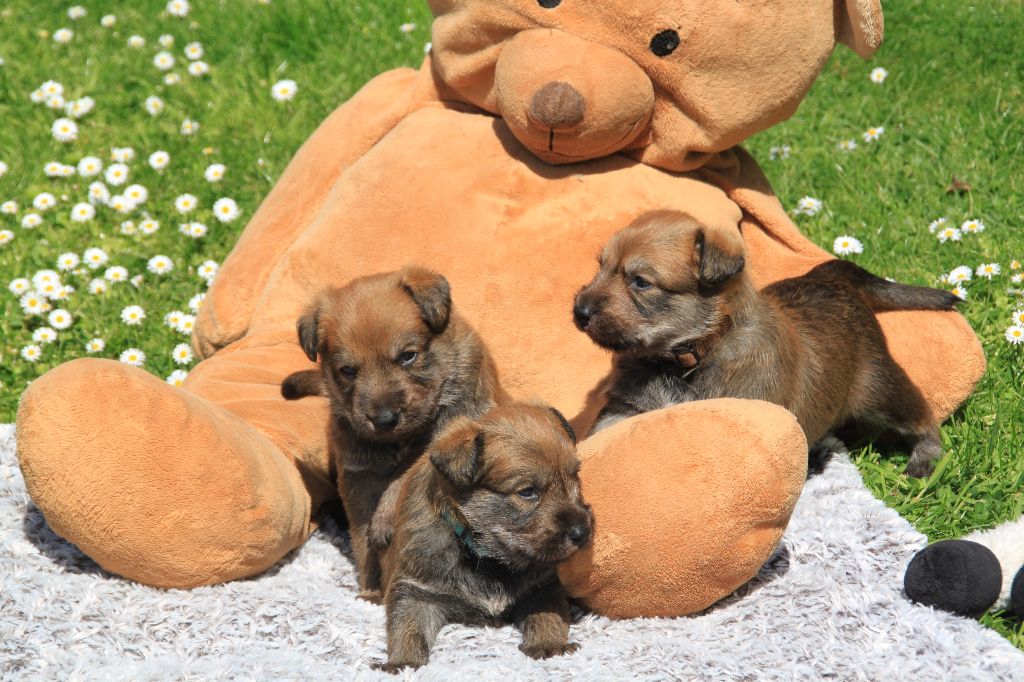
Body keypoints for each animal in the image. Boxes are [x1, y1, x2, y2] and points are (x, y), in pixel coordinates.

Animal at [282, 266, 501, 602]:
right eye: (348, 370)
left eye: (408, 356)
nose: (384, 419)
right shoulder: (357, 479)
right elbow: (363, 543)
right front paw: (371, 591)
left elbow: (404, 477)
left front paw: (385, 521)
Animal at [374, 401, 593, 671]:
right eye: (527, 492)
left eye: (575, 477)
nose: (582, 532)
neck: (488, 559)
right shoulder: (415, 588)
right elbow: (407, 626)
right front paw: (403, 663)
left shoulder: (542, 585)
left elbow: (548, 614)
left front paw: (550, 644)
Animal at [573, 209, 962, 475]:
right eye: (601, 266)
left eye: (640, 281)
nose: (579, 310)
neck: (690, 355)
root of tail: (832, 274)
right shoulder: (624, 409)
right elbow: (595, 440)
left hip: (878, 387)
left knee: (920, 413)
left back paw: (925, 458)